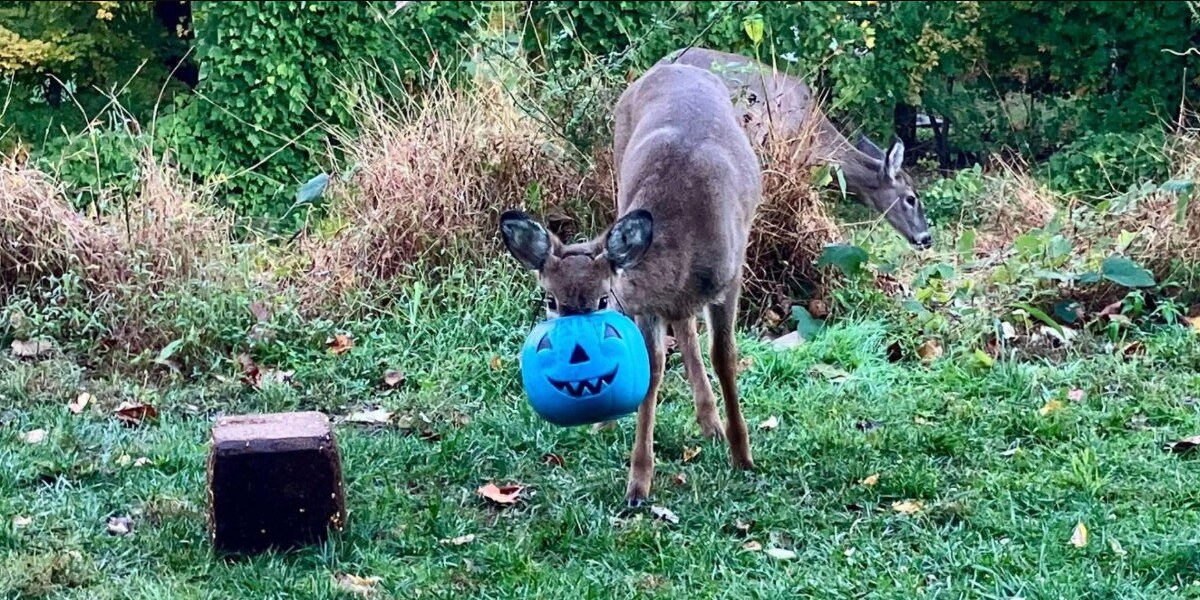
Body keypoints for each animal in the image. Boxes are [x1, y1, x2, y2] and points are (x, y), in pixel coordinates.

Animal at [499, 62, 762, 506]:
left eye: (603, 298)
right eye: (550, 300)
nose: (572, 345)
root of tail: (673, 65)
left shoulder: (731, 277)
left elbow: (725, 357)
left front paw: (742, 456)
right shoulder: (646, 307)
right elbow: (651, 369)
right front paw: (638, 484)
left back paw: (713, 426)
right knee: (683, 326)